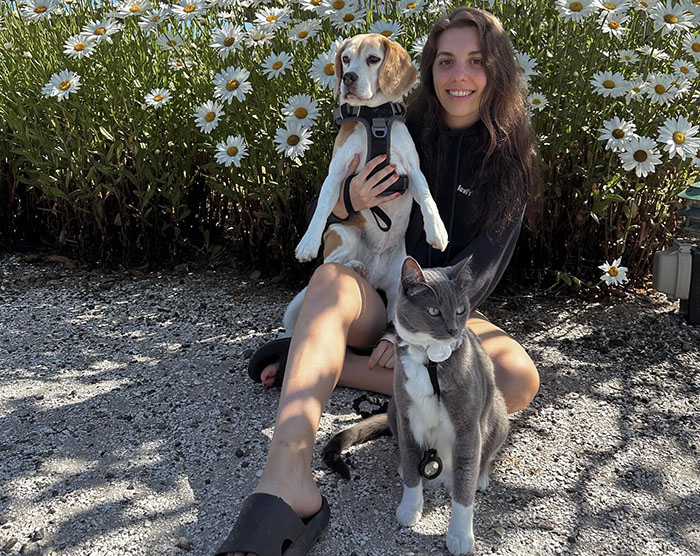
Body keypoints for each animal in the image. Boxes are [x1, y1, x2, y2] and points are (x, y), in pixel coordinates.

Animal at [322, 256, 508, 556]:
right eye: (433, 311)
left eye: (460, 310)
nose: (453, 330)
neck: (431, 360)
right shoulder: (408, 416)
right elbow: (412, 469)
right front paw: (409, 509)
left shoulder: (467, 428)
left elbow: (464, 489)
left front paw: (459, 536)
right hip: (393, 408)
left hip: (498, 410)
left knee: (485, 454)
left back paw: (480, 476)